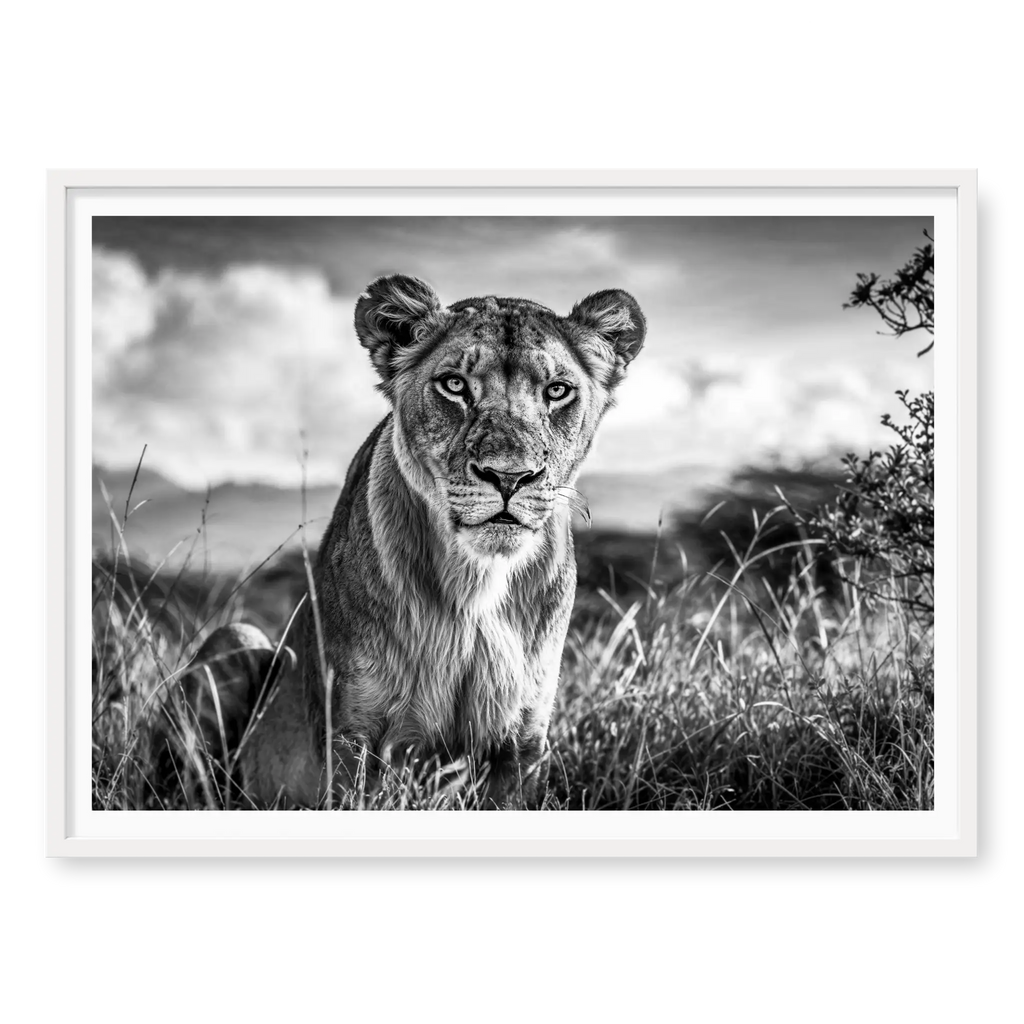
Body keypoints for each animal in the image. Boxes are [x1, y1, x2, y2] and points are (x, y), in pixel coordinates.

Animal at [178, 274, 646, 808]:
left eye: (557, 391)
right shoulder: (351, 736)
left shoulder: (523, 741)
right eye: (455, 385)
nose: (510, 477)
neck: (476, 585)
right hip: (237, 637)